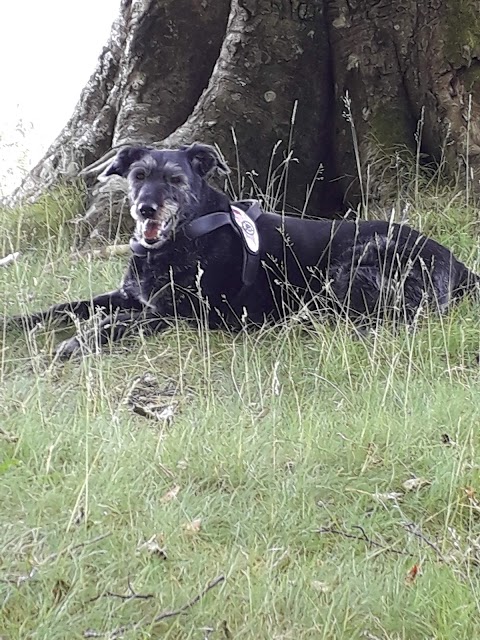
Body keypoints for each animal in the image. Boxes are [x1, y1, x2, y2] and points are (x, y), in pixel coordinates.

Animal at [8, 142, 480, 358]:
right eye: (138, 175)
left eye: (176, 179)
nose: (145, 209)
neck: (181, 240)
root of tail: (460, 266)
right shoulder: (129, 297)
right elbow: (64, 307)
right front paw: (15, 323)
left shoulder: (177, 314)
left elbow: (113, 324)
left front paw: (77, 343)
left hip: (352, 271)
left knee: (389, 318)